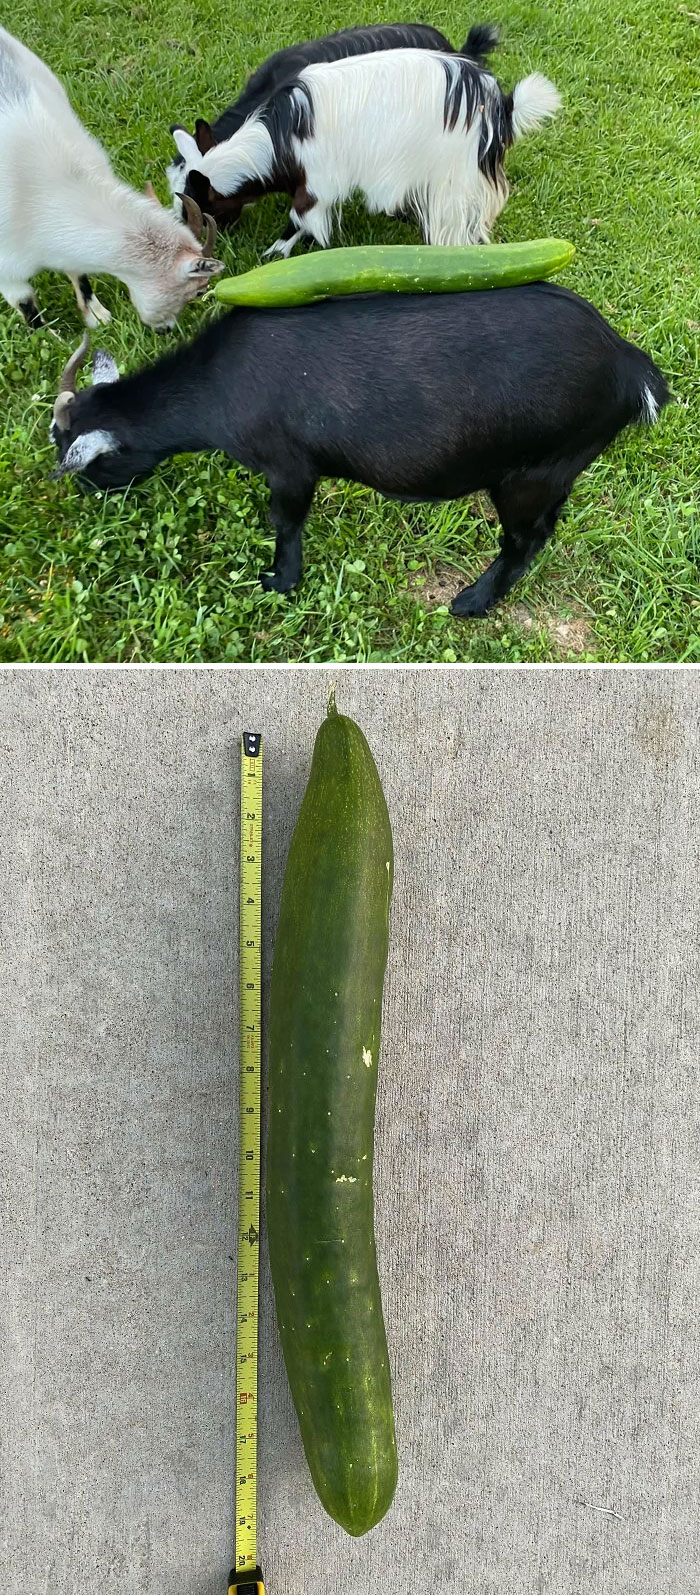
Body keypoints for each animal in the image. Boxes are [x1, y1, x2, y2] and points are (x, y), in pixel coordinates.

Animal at [0, 26, 223, 331]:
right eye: (198, 291)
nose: (165, 330)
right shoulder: (7, 267)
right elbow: (25, 303)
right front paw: (46, 335)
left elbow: (79, 272)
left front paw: (96, 316)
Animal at [49, 284, 669, 618]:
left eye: (89, 461)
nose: (82, 491)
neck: (217, 383)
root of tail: (626, 362)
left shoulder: (289, 467)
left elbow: (286, 522)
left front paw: (280, 580)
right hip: (559, 470)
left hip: (528, 475)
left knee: (523, 541)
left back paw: (471, 601)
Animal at [172, 45, 559, 255]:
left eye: (201, 207)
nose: (191, 243)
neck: (277, 142)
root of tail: (501, 107)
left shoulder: (316, 183)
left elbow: (300, 217)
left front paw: (277, 250)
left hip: (455, 176)